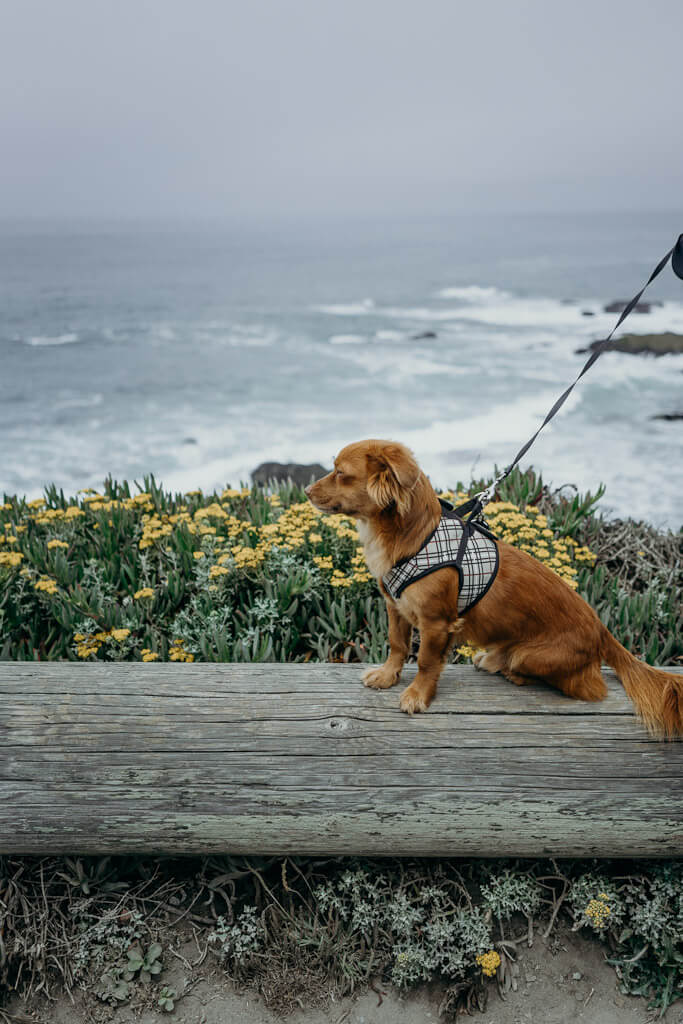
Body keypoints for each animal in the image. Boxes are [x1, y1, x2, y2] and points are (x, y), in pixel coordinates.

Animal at [307, 438, 683, 737]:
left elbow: (426, 661)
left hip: (531, 655)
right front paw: (387, 676)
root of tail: (602, 630)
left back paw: (508, 669)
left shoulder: (437, 623)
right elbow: (397, 645)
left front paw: (417, 696)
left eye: (340, 473)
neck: (414, 537)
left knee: (589, 687)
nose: (307, 492)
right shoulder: (395, 606)